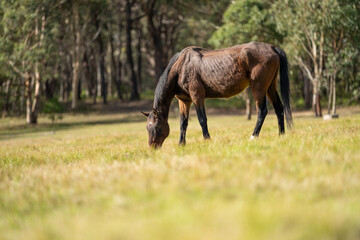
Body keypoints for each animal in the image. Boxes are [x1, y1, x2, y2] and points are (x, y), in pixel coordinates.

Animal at [141, 42, 292, 149]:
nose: (152, 148)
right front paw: (181, 144)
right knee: (279, 108)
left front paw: (207, 140)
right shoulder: (184, 101)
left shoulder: (197, 96)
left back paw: (254, 136)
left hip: (259, 88)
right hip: (270, 87)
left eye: (156, 127)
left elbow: (202, 120)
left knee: (262, 111)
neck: (181, 67)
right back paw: (281, 134)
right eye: (147, 127)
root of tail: (272, 47)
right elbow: (183, 123)